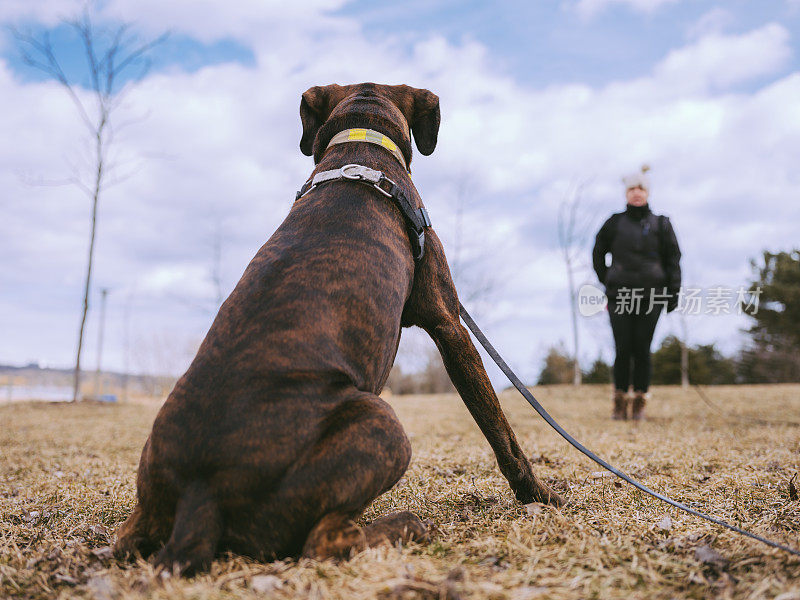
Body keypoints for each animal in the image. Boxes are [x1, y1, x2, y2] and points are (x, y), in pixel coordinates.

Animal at [114, 82, 564, 576]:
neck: (362, 144)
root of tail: (201, 494)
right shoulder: (449, 323)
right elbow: (500, 429)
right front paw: (539, 496)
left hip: (146, 502)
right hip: (382, 425)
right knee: (322, 543)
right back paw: (407, 525)